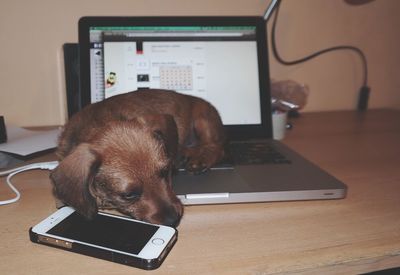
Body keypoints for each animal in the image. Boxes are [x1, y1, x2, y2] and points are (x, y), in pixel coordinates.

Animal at [50, 89, 225, 227]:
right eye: (128, 195)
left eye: (165, 172)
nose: (173, 220)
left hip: (203, 119)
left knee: (216, 146)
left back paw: (200, 157)